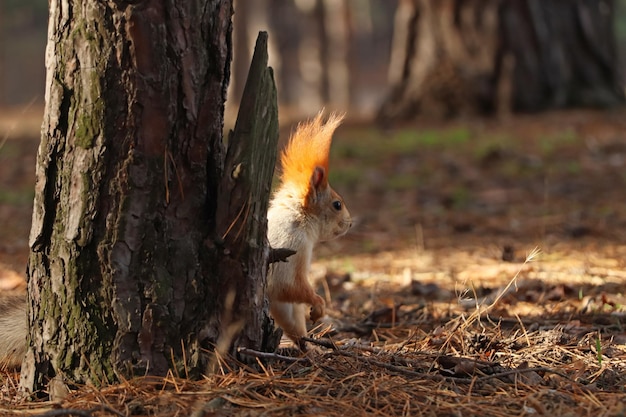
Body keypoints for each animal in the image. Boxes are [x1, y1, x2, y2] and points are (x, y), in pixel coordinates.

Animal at [264, 111, 352, 348]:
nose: (350, 223)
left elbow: (287, 312)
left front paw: (307, 344)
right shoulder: (291, 244)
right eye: (337, 205)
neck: (299, 218)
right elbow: (285, 286)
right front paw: (318, 304)